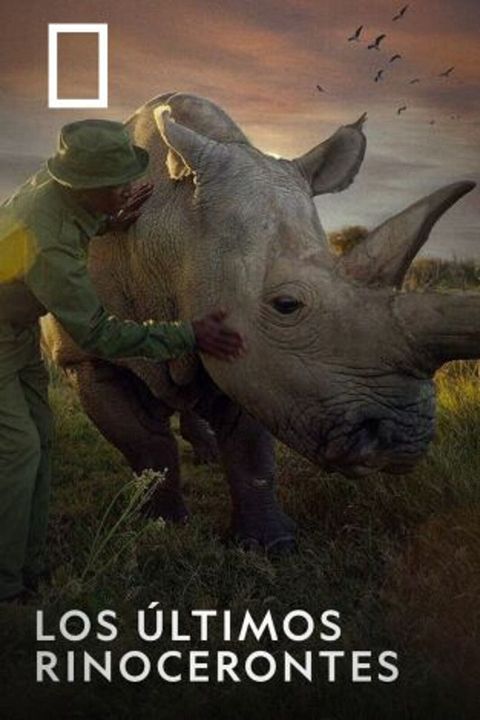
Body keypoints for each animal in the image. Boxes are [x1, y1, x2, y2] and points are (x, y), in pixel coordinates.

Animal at [43, 92, 477, 551]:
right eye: (286, 305)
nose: (404, 441)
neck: (174, 232)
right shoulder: (84, 357)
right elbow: (146, 445)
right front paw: (161, 526)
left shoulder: (254, 356)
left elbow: (251, 446)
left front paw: (270, 544)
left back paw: (206, 453)